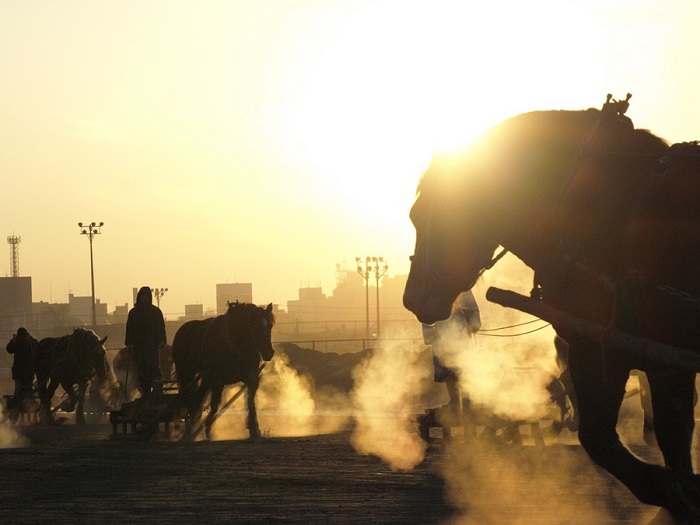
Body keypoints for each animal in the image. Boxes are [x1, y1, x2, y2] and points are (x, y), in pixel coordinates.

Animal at [171, 300, 274, 440]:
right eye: (256, 326)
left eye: (270, 326)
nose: (269, 352)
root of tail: (183, 329)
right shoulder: (215, 379)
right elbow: (213, 404)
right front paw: (207, 429)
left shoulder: (251, 378)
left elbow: (251, 401)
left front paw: (254, 429)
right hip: (188, 372)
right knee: (192, 397)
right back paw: (193, 428)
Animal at [402, 96, 700, 516]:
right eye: (414, 215)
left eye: (437, 213)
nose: (413, 299)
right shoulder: (649, 357)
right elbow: (668, 438)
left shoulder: (607, 348)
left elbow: (606, 439)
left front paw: (677, 494)